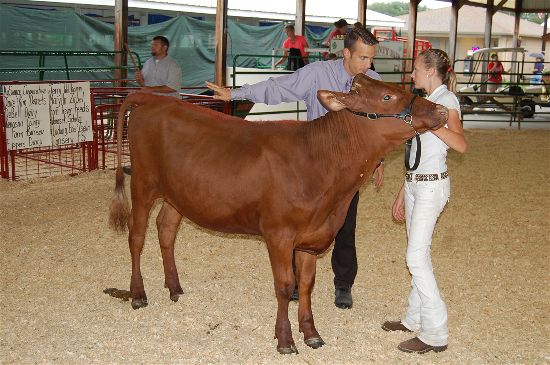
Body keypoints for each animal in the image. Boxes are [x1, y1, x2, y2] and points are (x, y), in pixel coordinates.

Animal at [110, 73, 450, 352]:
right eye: (388, 97)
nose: (441, 111)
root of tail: (155, 98)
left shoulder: (311, 239)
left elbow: (307, 284)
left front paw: (311, 333)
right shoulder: (279, 234)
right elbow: (285, 286)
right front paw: (285, 339)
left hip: (178, 194)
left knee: (166, 229)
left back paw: (175, 288)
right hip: (143, 184)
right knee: (136, 236)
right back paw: (138, 293)